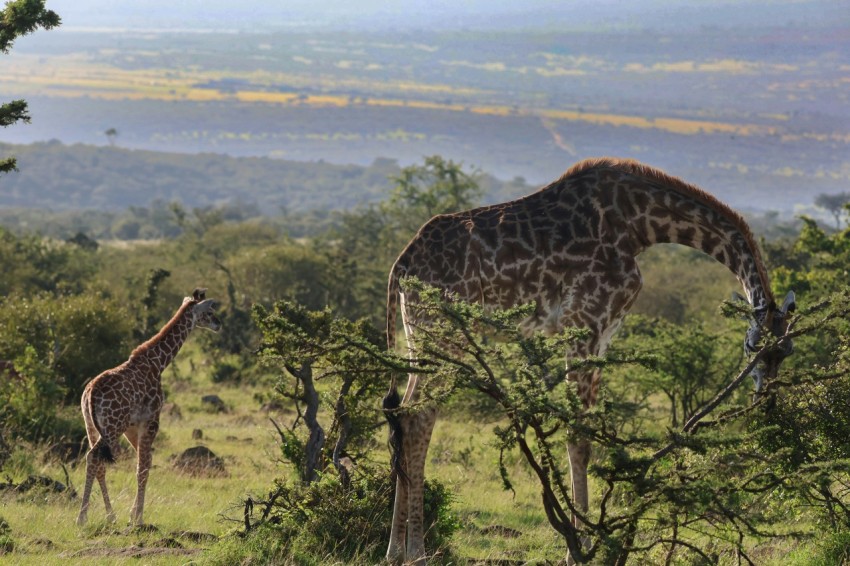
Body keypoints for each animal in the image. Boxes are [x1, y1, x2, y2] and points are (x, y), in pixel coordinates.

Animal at [76, 290, 220, 524]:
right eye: (209, 311)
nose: (218, 324)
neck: (158, 363)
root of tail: (90, 394)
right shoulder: (152, 419)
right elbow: (142, 467)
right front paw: (138, 517)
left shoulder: (133, 426)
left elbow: (144, 462)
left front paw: (132, 514)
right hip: (112, 426)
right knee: (93, 457)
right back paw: (82, 517)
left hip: (91, 426)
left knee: (98, 463)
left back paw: (110, 516)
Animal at [384, 158, 796, 564]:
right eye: (754, 346)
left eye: (787, 351)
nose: (766, 402)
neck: (641, 225)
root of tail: (401, 264)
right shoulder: (584, 323)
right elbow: (578, 436)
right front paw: (578, 547)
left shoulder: (604, 333)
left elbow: (588, 432)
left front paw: (585, 539)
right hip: (443, 331)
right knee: (420, 415)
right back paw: (417, 551)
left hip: (419, 333)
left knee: (405, 413)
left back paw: (394, 549)